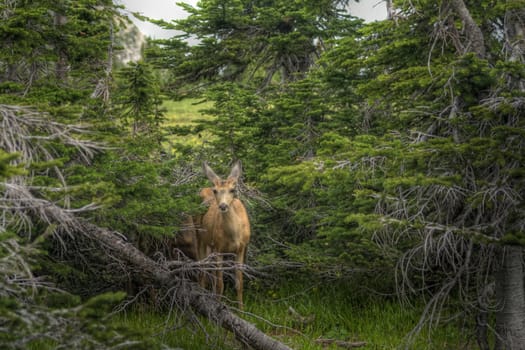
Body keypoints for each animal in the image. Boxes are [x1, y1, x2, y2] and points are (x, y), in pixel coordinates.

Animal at [196, 161, 252, 308]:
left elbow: (239, 283)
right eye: (215, 190)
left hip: (210, 245)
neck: (234, 235)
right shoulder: (219, 248)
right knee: (202, 271)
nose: (222, 206)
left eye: (232, 190)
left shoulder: (241, 249)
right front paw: (218, 307)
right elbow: (220, 284)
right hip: (199, 237)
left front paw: (241, 309)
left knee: (208, 272)